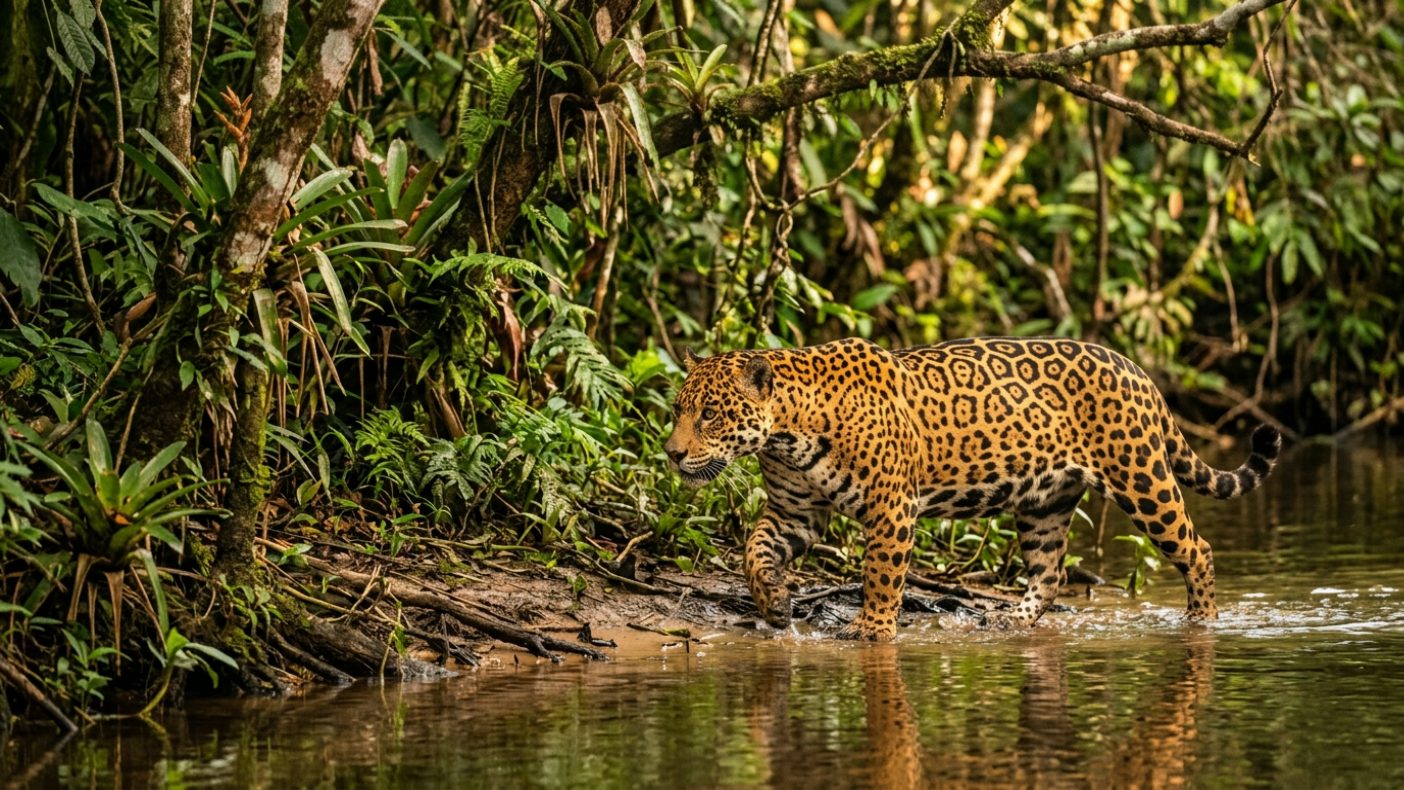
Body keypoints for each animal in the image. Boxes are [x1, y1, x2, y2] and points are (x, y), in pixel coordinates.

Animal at [664, 337, 1282, 641]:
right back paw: (1013, 619)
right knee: (1049, 571)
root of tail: (1139, 371)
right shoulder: (795, 513)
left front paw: (872, 628)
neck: (788, 431)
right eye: (677, 411)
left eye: (711, 414)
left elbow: (880, 575)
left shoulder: (892, 510)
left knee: (1196, 549)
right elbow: (754, 550)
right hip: (1044, 503)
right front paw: (773, 601)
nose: (671, 453)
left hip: (1141, 478)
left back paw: (1202, 620)